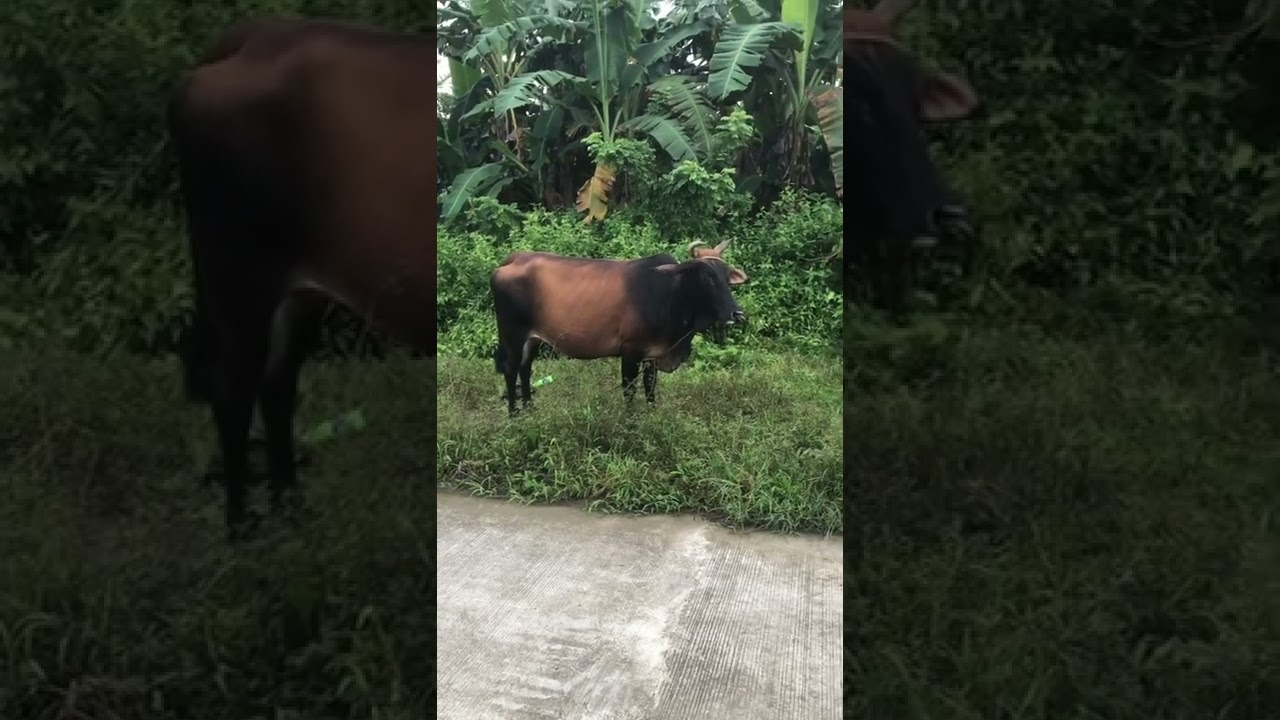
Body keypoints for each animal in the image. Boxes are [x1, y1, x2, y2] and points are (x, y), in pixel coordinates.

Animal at [167, 18, 437, 540]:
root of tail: (260, 32)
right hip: (238, 274)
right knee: (233, 389)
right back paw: (240, 527)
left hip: (296, 289)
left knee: (276, 384)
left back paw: (290, 507)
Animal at [490, 240, 748, 416]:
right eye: (706, 277)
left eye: (727, 276)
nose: (738, 314)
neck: (669, 293)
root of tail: (514, 258)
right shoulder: (630, 352)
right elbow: (629, 390)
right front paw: (630, 420)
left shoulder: (652, 355)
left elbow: (650, 388)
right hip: (512, 334)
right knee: (511, 370)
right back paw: (514, 415)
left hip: (532, 339)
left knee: (525, 369)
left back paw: (530, 409)